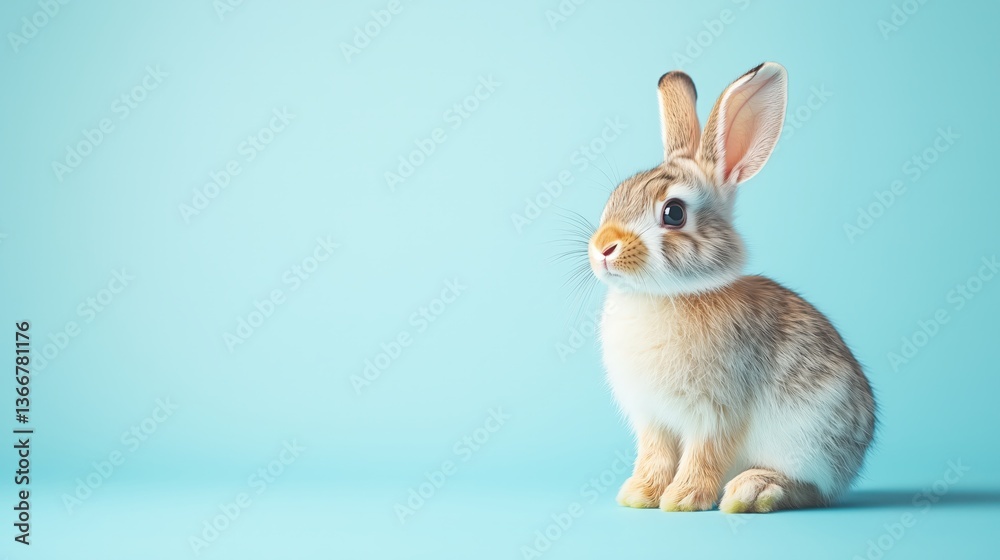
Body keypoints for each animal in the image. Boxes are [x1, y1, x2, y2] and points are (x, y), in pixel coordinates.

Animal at [587, 62, 875, 513]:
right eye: (615, 196)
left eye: (673, 213)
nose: (602, 248)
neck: (665, 295)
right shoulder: (653, 419)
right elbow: (655, 454)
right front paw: (639, 494)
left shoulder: (715, 412)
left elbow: (704, 454)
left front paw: (683, 499)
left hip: (807, 441)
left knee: (810, 490)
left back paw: (752, 491)